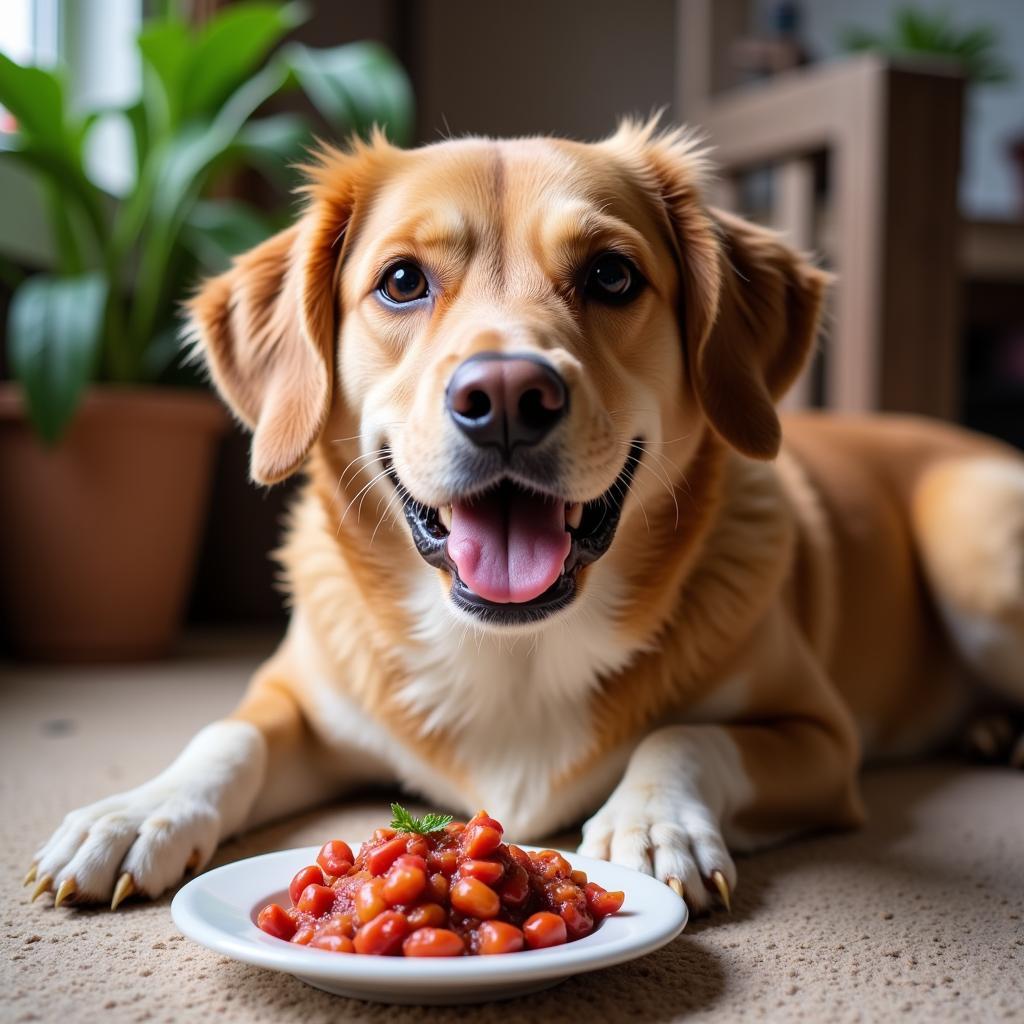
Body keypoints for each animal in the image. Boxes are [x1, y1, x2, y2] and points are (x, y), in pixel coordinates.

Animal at [29, 119, 1024, 913]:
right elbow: (224, 734)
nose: (507, 395)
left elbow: (686, 732)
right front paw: (137, 811)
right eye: (401, 281)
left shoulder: (823, 740)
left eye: (613, 275)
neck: (511, 648)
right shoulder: (296, 700)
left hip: (966, 542)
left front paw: (651, 820)